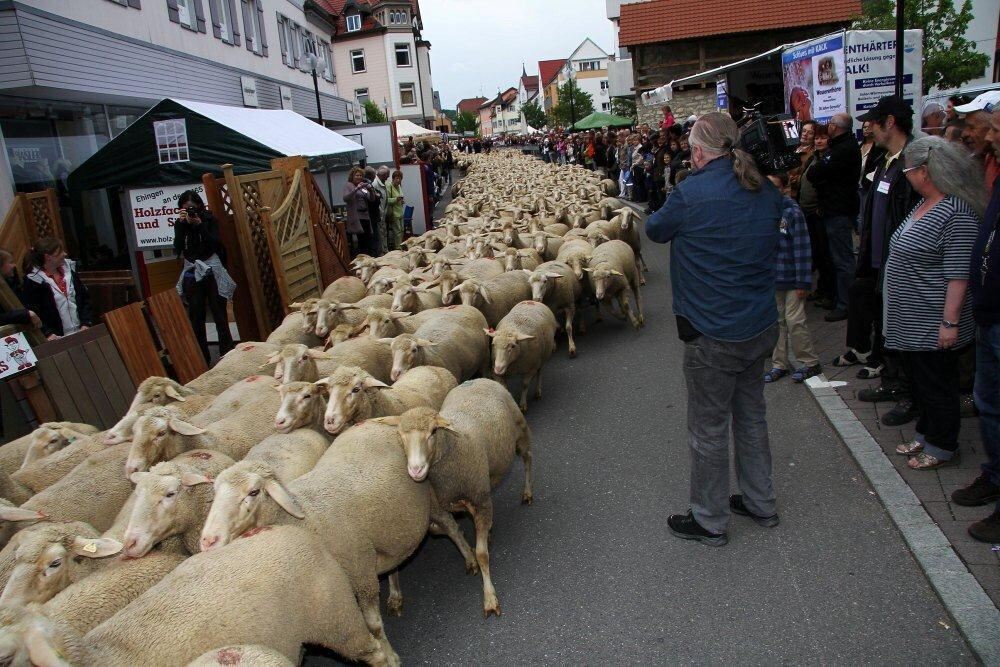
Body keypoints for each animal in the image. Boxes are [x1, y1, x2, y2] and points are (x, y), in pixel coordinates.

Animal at [197, 422, 428, 656]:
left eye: (253, 492)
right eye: (215, 491)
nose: (208, 541)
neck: (304, 517)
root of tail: (375, 423)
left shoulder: (362, 576)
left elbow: (375, 627)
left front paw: (391, 656)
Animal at [374, 378, 532, 620]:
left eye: (432, 432)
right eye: (401, 436)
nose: (416, 470)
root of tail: (481, 378)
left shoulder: (479, 499)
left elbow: (482, 554)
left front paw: (489, 598)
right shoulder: (442, 506)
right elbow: (450, 531)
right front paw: (470, 553)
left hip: (520, 431)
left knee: (527, 459)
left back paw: (527, 492)